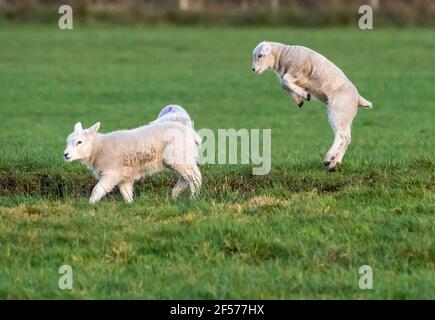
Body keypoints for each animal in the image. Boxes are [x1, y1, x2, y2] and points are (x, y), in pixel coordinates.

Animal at [254, 41, 372, 171]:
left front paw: (305, 95)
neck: (283, 56)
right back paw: (334, 163)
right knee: (347, 137)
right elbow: (283, 84)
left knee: (342, 136)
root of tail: (358, 98)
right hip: (346, 115)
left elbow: (284, 80)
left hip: (339, 110)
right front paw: (300, 99)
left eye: (260, 55)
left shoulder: (297, 69)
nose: (253, 69)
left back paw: (328, 158)